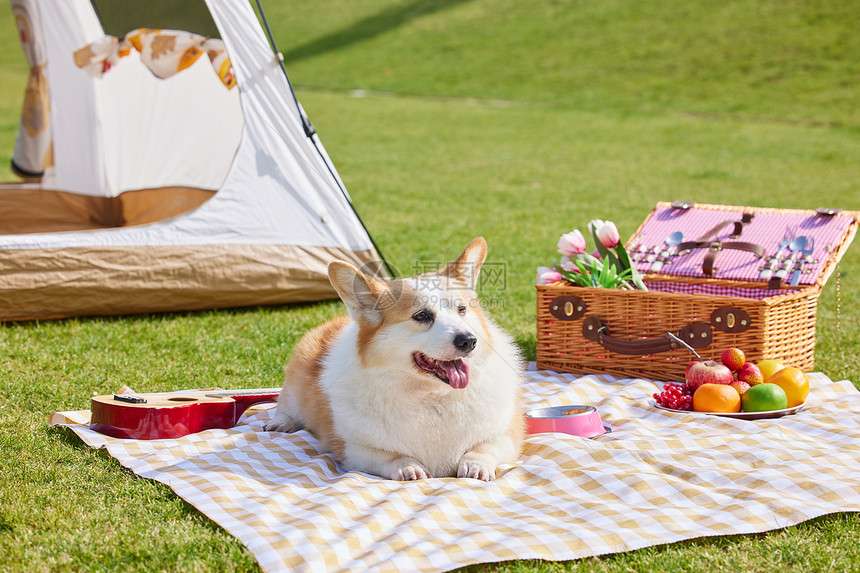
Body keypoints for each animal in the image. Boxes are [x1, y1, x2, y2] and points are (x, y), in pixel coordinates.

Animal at [266, 235, 524, 480]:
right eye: (421, 315)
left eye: (462, 310)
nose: (469, 341)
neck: (432, 395)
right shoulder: (353, 448)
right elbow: (391, 456)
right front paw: (408, 467)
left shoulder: (508, 434)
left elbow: (484, 448)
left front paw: (476, 466)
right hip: (296, 384)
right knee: (285, 404)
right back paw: (281, 422)